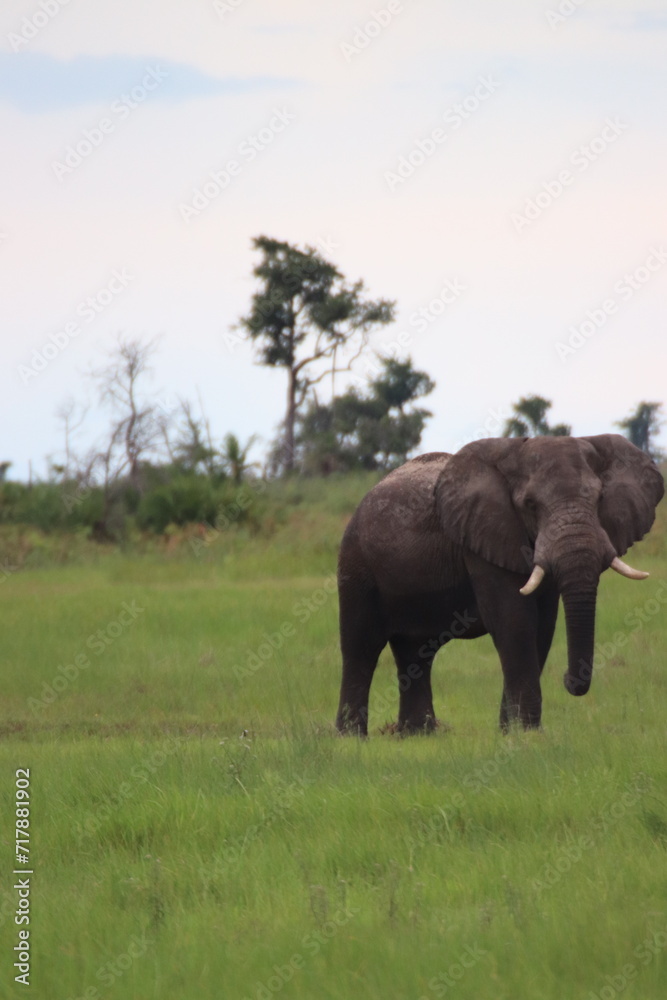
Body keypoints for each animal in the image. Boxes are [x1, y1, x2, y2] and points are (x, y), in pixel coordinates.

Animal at [335, 435, 664, 734]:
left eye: (599, 499)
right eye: (530, 504)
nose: (568, 680)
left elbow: (543, 627)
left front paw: (513, 732)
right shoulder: (482, 536)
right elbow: (515, 620)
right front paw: (524, 733)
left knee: (415, 652)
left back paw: (417, 734)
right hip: (356, 564)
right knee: (360, 647)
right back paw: (352, 738)